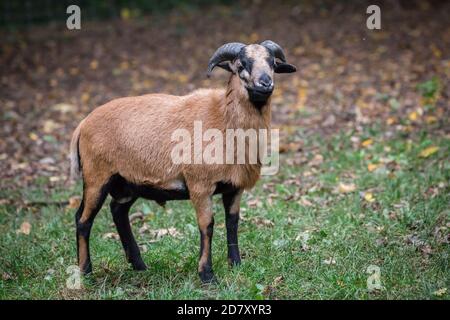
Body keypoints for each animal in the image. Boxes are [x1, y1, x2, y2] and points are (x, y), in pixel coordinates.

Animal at [69, 40, 296, 282]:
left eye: (273, 63)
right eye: (240, 65)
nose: (265, 83)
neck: (224, 119)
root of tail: (83, 124)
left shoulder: (234, 186)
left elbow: (233, 222)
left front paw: (235, 264)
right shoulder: (200, 185)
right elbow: (207, 225)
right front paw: (207, 275)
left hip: (127, 183)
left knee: (118, 212)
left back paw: (139, 265)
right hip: (97, 176)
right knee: (83, 220)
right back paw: (86, 271)